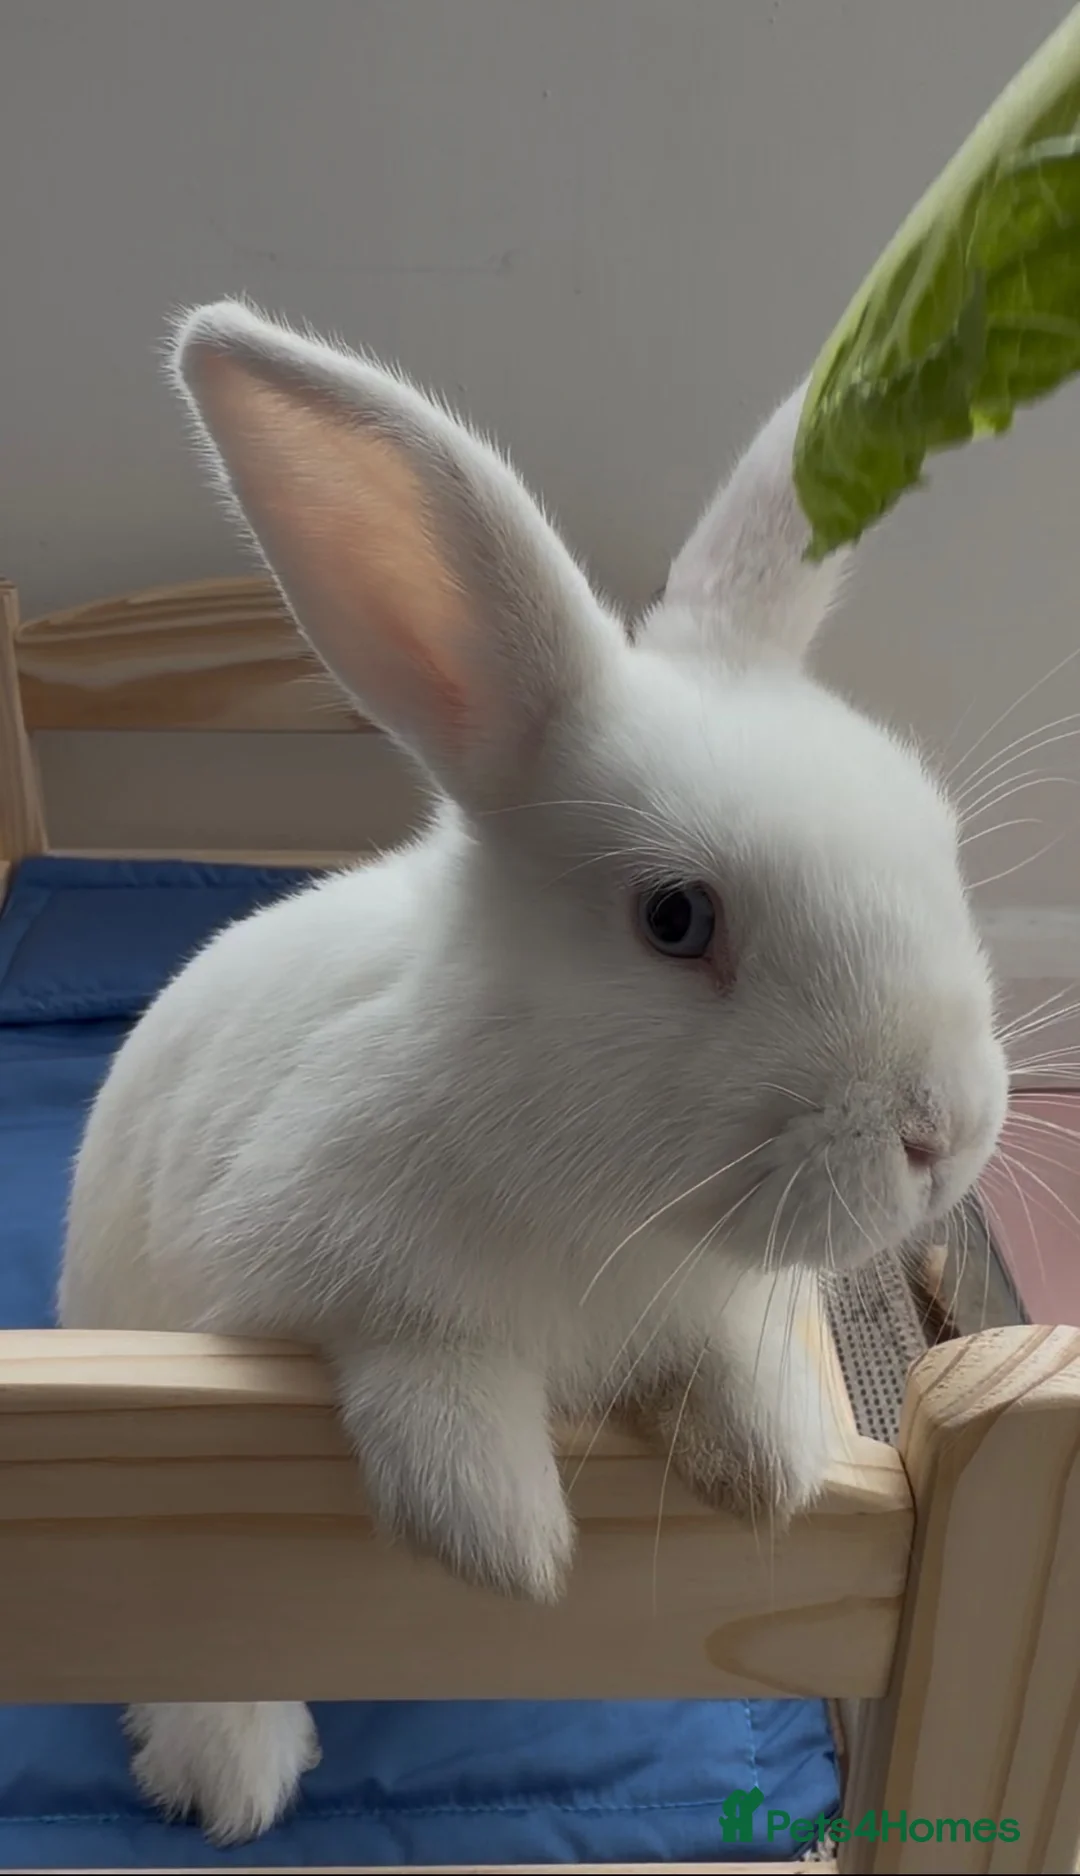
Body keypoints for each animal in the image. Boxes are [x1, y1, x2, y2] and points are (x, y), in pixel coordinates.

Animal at [59, 298, 1009, 1844]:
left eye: (934, 835)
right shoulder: (325, 1277)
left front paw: (773, 1463)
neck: (603, 1192)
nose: (948, 1132)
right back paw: (231, 1771)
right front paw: (500, 1534)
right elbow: (428, 1368)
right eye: (676, 918)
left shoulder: (709, 1296)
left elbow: (733, 1359)